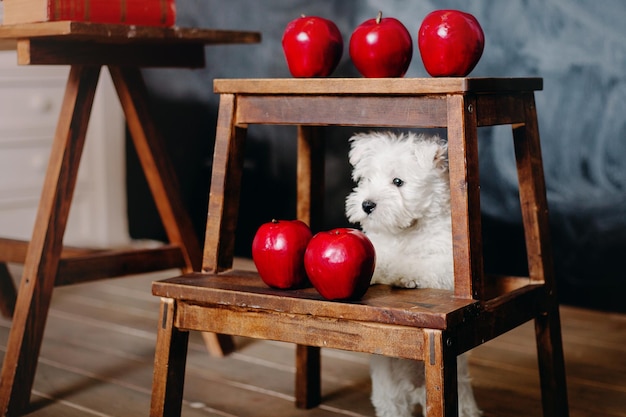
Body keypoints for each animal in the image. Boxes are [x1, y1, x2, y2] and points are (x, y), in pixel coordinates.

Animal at [346, 131, 478, 416]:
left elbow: (415, 264)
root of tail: (417, 390)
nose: (367, 204)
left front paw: (402, 274)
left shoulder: (446, 266)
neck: (405, 230)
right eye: (366, 179)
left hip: (459, 394)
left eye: (398, 181)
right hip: (389, 396)